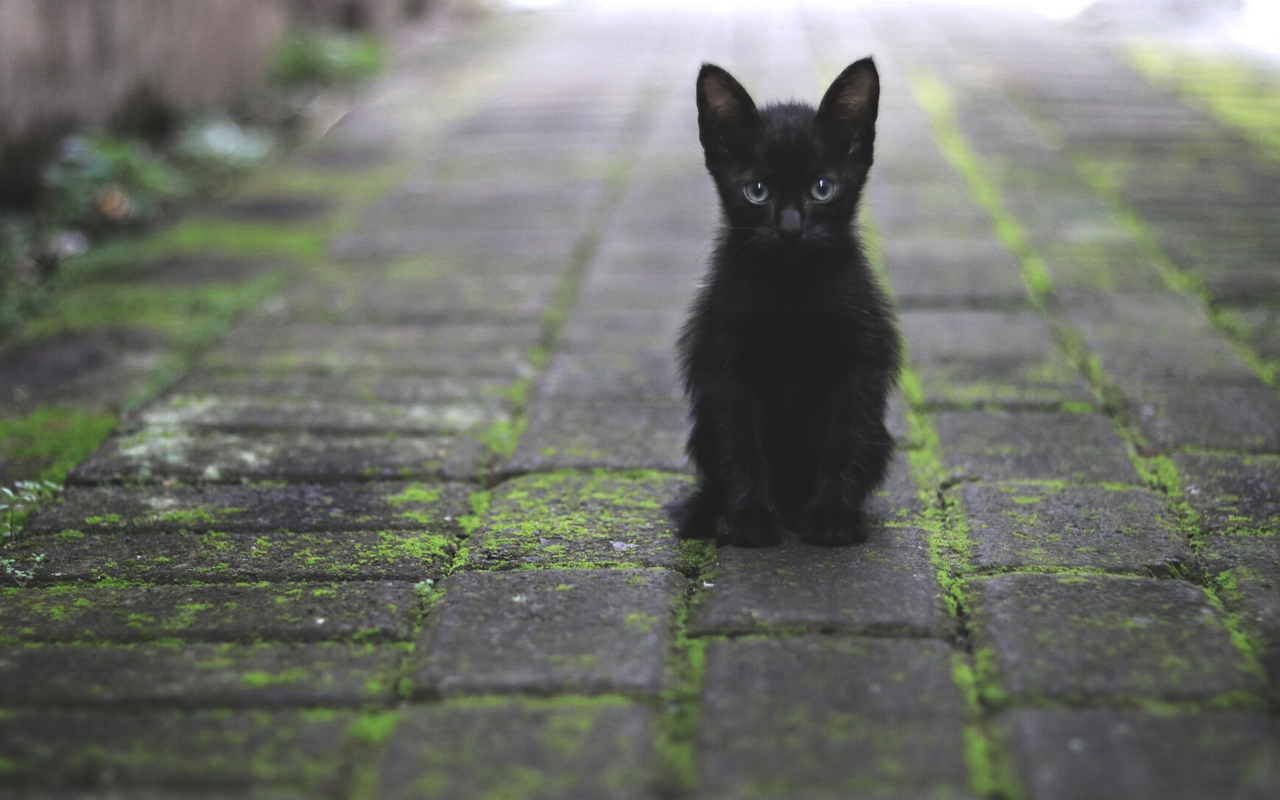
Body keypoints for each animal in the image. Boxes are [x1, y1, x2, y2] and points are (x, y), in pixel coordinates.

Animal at [680, 59, 901, 545]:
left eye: (822, 188)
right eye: (757, 191)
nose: (790, 228)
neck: (791, 288)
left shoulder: (860, 361)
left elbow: (845, 438)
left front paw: (834, 515)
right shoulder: (723, 364)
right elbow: (739, 442)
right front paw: (749, 517)